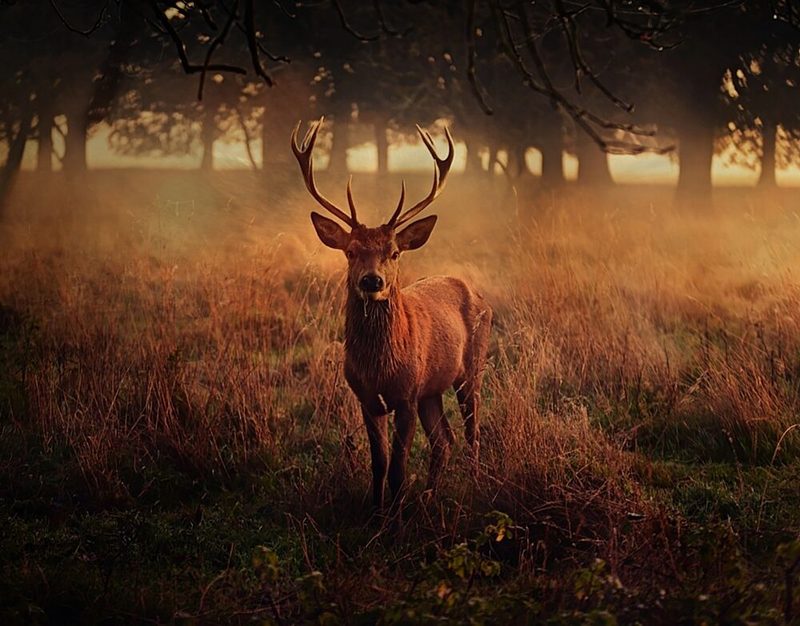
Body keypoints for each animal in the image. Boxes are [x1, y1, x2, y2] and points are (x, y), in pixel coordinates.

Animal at [291, 118, 492, 516]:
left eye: (395, 252)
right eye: (351, 251)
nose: (373, 281)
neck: (380, 366)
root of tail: (474, 290)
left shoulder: (406, 394)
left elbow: (398, 465)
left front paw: (394, 519)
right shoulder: (367, 397)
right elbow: (379, 462)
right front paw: (377, 511)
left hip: (470, 369)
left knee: (472, 434)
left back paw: (474, 487)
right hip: (432, 389)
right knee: (444, 439)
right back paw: (429, 496)